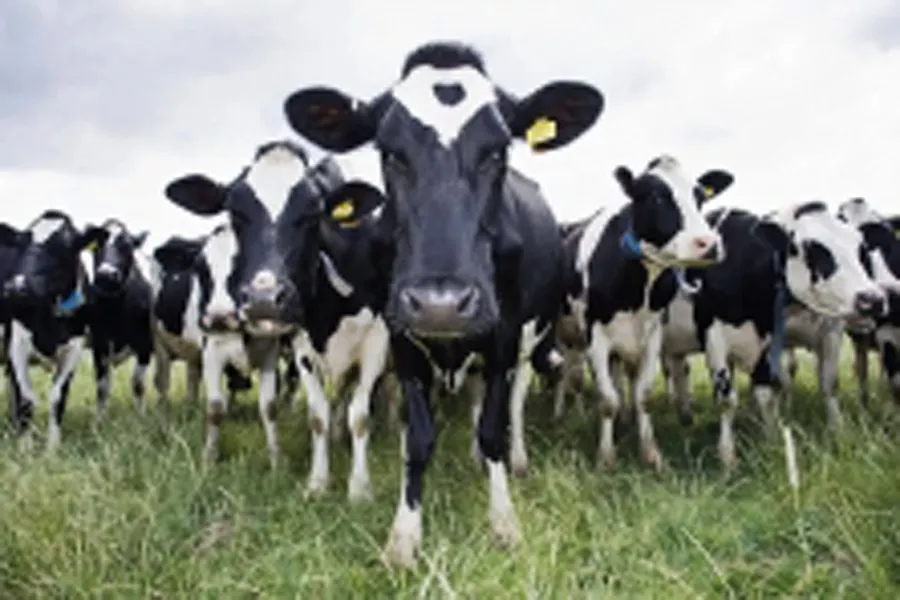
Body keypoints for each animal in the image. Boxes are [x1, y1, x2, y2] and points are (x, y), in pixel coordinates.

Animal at [0, 210, 106, 450]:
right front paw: (25, 447)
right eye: (21, 244)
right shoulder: (16, 345)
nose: (15, 288)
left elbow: (58, 396)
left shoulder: (74, 349)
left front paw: (52, 447)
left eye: (65, 247)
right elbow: (25, 398)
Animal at [79, 219, 157, 422]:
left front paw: (141, 417)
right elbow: (102, 386)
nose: (106, 275)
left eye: (127, 246)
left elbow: (138, 383)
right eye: (96, 246)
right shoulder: (99, 344)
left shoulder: (145, 345)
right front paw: (98, 420)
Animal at [162, 141, 391, 503]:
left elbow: (360, 416)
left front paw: (359, 489)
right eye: (235, 212)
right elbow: (317, 416)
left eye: (313, 213)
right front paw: (318, 482)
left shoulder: (376, 343)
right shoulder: (301, 346)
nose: (263, 299)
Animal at [283, 40, 605, 567]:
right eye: (389, 152)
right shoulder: (401, 338)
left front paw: (503, 522)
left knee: (512, 406)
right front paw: (404, 535)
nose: (441, 304)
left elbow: (493, 427)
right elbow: (417, 437)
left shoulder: (503, 337)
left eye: (497, 150)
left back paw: (513, 461)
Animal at [661, 201, 898, 469]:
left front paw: (775, 439)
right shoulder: (714, 336)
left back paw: (685, 416)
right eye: (811, 248)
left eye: (860, 248)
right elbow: (727, 399)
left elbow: (784, 390)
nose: (873, 299)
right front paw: (728, 457)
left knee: (680, 368)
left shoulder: (798, 337)